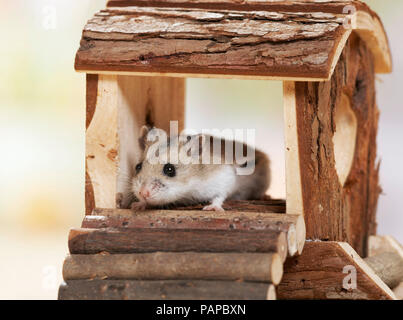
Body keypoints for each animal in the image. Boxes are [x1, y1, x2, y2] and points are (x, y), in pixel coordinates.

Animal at [131, 125, 274, 212]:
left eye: (170, 169)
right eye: (138, 166)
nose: (143, 193)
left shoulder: (223, 179)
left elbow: (219, 196)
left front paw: (212, 208)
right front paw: (138, 205)